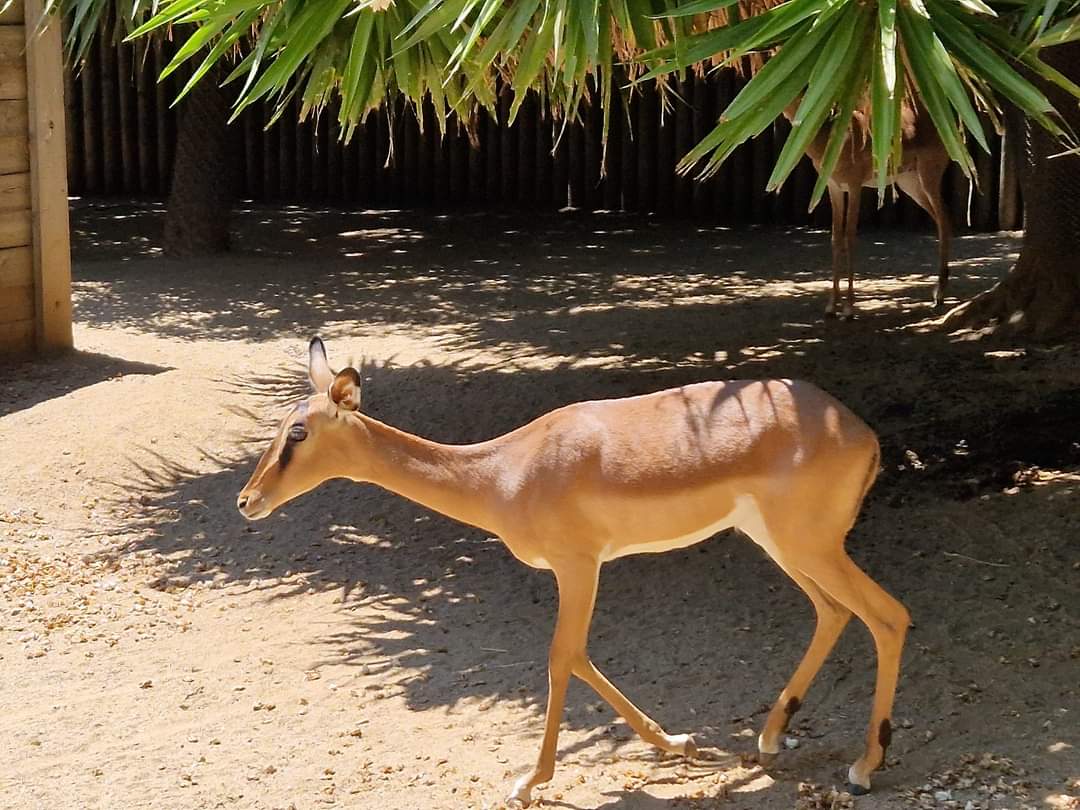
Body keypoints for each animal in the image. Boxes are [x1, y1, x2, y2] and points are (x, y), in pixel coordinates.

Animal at [237, 337, 910, 805]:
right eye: (279, 426)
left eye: (298, 433)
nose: (246, 501)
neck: (504, 471)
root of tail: (864, 433)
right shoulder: (580, 571)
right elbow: (582, 656)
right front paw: (679, 743)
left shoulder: (578, 567)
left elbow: (562, 656)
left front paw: (528, 782)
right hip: (781, 544)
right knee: (834, 611)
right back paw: (771, 738)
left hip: (811, 548)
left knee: (888, 616)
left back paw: (863, 769)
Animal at [797, 102, 952, 318]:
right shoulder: (833, 186)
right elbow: (836, 238)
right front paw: (831, 306)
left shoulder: (854, 185)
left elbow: (850, 237)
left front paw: (848, 309)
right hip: (909, 182)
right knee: (940, 218)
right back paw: (938, 291)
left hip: (928, 175)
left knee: (944, 218)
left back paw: (939, 295)